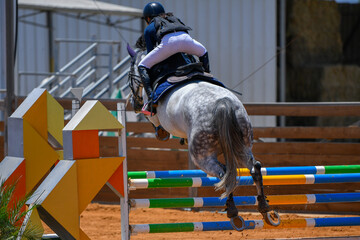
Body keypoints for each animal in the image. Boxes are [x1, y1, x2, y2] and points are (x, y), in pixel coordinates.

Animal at [126, 45, 282, 231]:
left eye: (130, 73)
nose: (133, 104)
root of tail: (223, 103)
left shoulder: (152, 111)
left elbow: (153, 120)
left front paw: (161, 133)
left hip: (202, 157)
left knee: (224, 174)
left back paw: (234, 214)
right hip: (243, 145)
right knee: (254, 169)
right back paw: (265, 210)